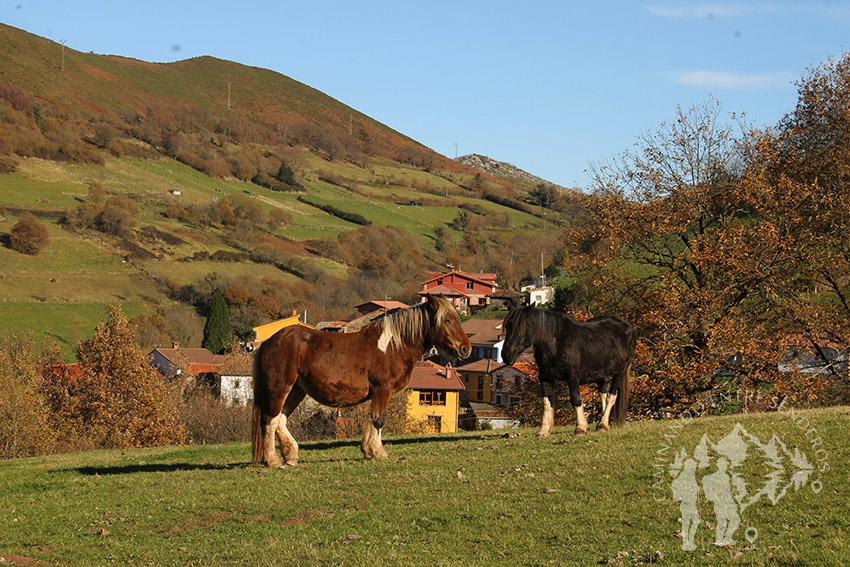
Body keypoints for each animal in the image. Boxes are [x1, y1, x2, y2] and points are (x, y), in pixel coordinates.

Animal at [252, 296, 470, 468]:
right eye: (447, 320)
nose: (465, 349)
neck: (393, 346)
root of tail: (269, 342)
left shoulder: (376, 393)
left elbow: (372, 418)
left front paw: (367, 450)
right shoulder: (383, 389)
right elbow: (379, 419)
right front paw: (378, 451)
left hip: (296, 391)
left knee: (280, 419)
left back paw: (291, 455)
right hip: (279, 389)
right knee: (269, 420)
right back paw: (273, 460)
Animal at [500, 306, 632, 434]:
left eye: (519, 328)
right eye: (507, 327)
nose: (506, 355)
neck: (555, 343)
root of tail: (627, 326)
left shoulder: (572, 377)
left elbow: (576, 399)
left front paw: (580, 427)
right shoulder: (544, 377)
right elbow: (547, 402)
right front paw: (543, 430)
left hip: (620, 372)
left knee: (612, 395)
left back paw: (603, 424)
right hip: (599, 374)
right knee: (603, 394)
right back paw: (604, 424)